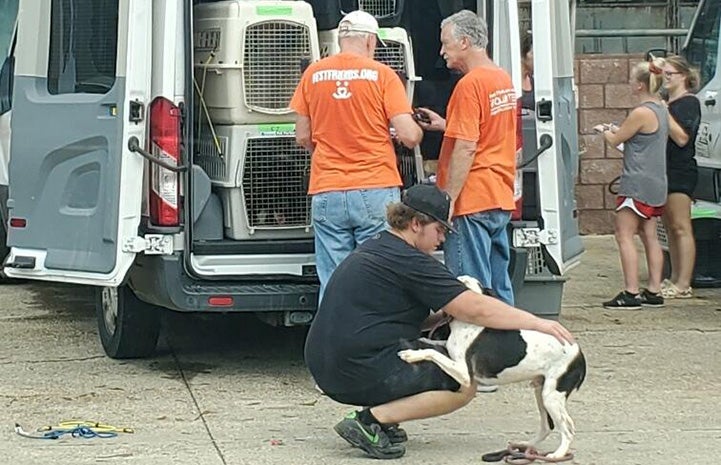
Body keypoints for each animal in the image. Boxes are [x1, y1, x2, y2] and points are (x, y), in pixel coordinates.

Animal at [400, 274, 584, 458]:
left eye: (469, 283)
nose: (460, 277)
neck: (466, 323)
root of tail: (580, 356)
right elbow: (433, 345)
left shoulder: (464, 374)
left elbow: (433, 352)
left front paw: (411, 355)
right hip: (542, 392)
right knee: (547, 426)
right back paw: (525, 446)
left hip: (551, 396)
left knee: (568, 428)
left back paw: (557, 454)